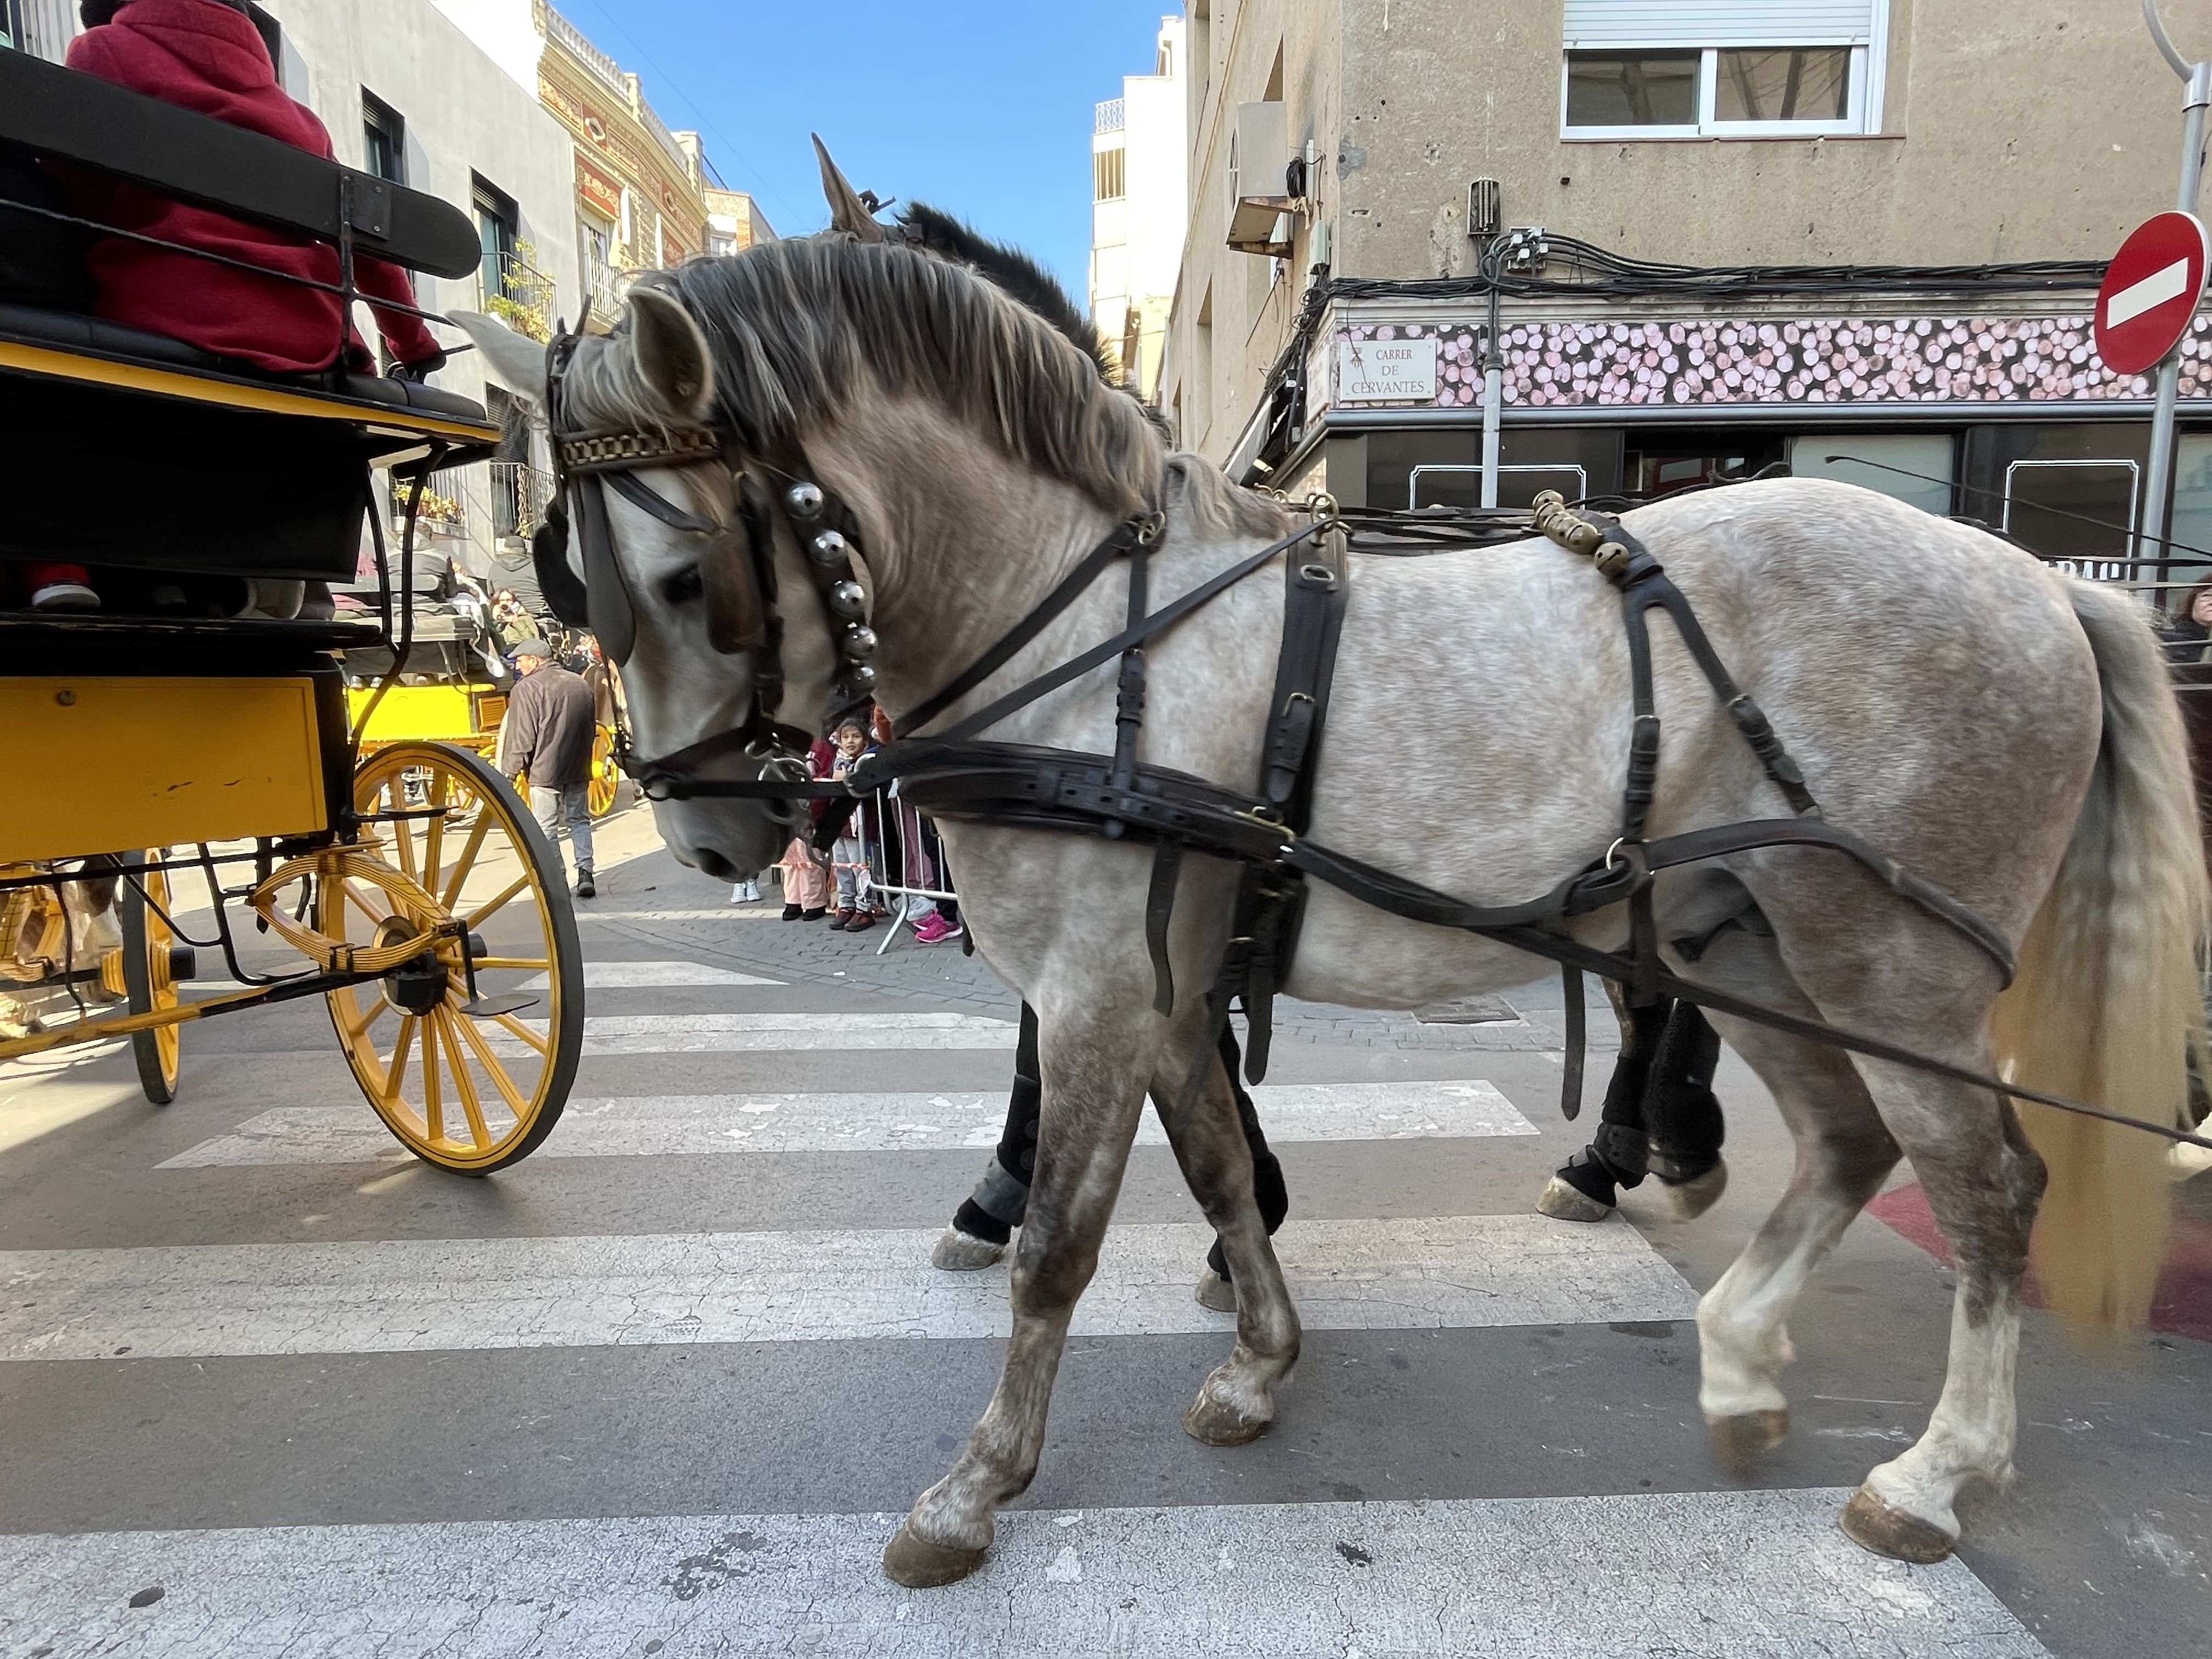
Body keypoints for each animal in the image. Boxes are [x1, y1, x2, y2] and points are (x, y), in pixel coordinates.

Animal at [458, 215, 2203, 1593]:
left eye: (688, 581)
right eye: (568, 576)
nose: (704, 831)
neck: (1089, 631)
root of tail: (2047, 583)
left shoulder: (1092, 996)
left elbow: (1058, 1251)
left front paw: (979, 1485)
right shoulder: (1163, 996)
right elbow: (1224, 1172)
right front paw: (1257, 1363)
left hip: (1892, 964)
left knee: (1989, 1189)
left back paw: (1936, 1472)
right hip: (1745, 943)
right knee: (1845, 1145)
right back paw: (1739, 1359)